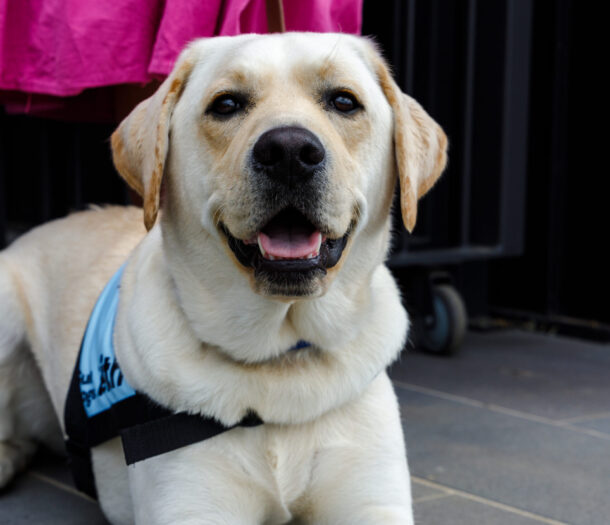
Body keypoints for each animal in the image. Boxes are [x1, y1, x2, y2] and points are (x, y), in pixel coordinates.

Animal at [0, 33, 446, 524]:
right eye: (226, 104)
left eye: (344, 101)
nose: (290, 152)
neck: (278, 362)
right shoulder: (191, 509)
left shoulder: (374, 502)